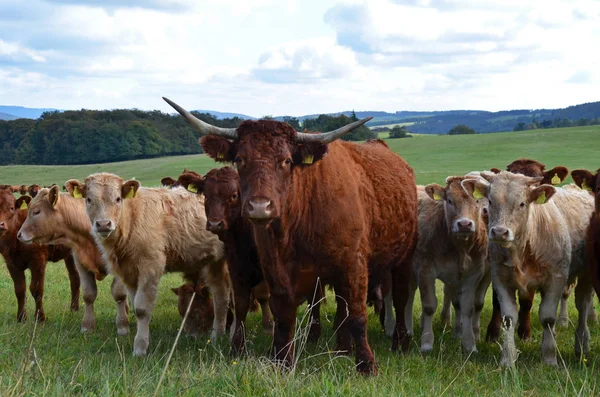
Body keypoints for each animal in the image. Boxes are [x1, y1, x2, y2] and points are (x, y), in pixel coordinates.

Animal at [0, 186, 80, 322]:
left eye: (11, 207)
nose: (0, 225)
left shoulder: (38, 261)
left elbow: (36, 290)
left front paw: (40, 317)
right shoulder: (11, 264)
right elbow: (19, 290)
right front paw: (21, 317)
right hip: (70, 256)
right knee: (74, 278)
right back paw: (74, 309)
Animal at [18, 187, 131, 336]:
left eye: (37, 212)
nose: (19, 234)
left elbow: (119, 294)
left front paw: (123, 326)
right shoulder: (81, 264)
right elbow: (88, 294)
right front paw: (87, 326)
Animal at [67, 173, 231, 356]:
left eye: (117, 199)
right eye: (89, 199)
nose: (103, 224)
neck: (131, 219)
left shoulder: (150, 266)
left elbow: (142, 308)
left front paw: (140, 347)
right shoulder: (128, 272)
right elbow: (134, 305)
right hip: (215, 262)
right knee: (220, 295)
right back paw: (217, 335)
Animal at [164, 96, 418, 374]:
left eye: (286, 160)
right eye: (240, 159)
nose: (259, 207)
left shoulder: (354, 264)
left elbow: (358, 314)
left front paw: (367, 365)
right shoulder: (274, 270)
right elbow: (284, 315)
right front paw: (283, 361)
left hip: (402, 260)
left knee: (399, 300)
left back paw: (399, 343)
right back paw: (341, 349)